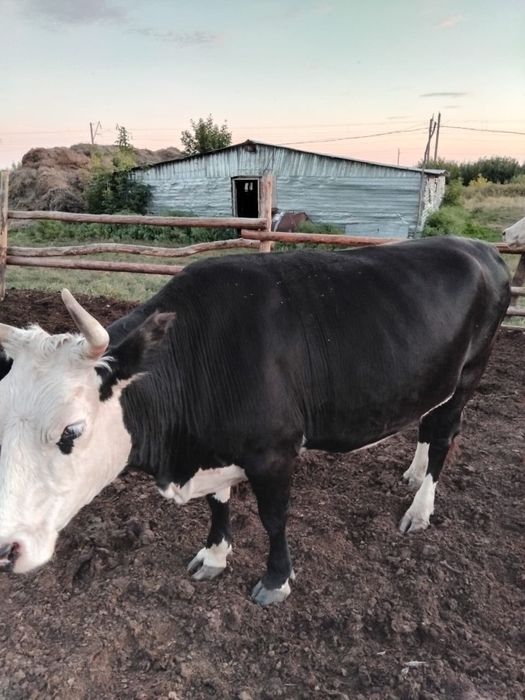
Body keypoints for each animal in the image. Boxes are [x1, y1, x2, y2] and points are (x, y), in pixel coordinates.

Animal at [0, 237, 510, 605]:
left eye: (71, 430)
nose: (5, 551)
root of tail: (479, 247)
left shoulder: (274, 451)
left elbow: (273, 516)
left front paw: (276, 580)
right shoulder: (216, 449)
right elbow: (219, 503)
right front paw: (214, 555)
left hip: (468, 374)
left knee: (443, 436)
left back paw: (420, 508)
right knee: (426, 425)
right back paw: (413, 473)